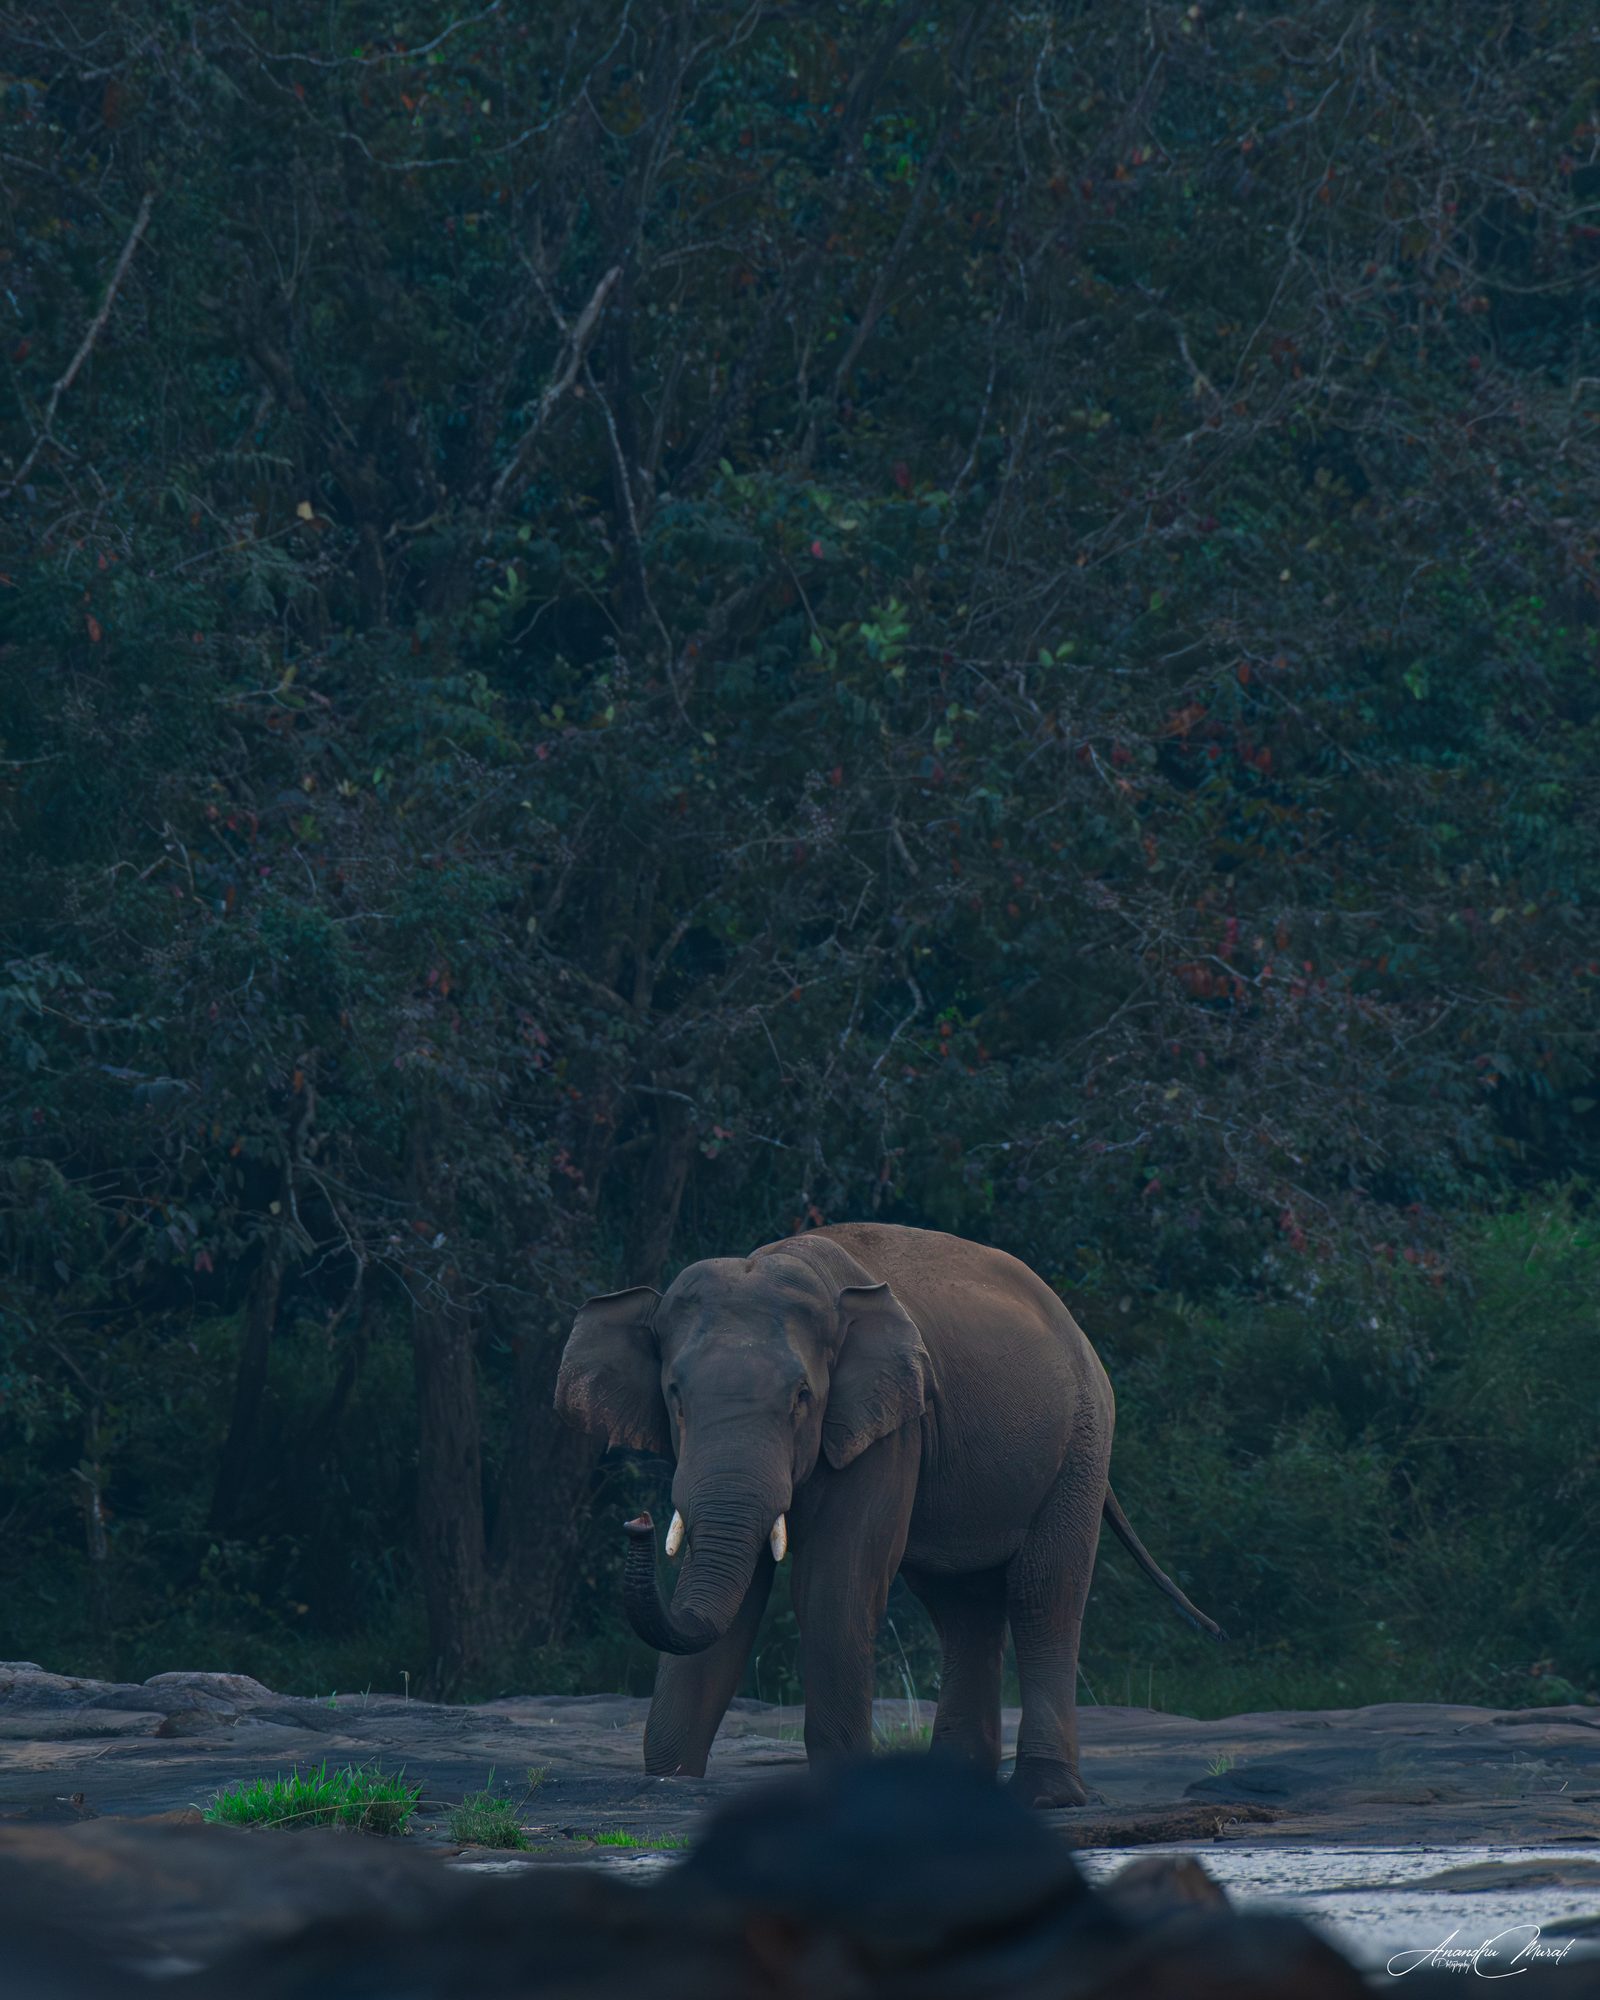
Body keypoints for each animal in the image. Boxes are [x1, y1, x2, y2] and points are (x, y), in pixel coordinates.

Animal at [555, 1222, 1222, 1807]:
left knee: (1043, 1594)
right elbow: (733, 1605)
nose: (638, 1523)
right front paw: (667, 1783)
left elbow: (833, 1588)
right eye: (675, 1396)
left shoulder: (889, 1426)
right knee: (962, 1606)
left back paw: (1046, 1797)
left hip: (1079, 1446)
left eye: (802, 1398)